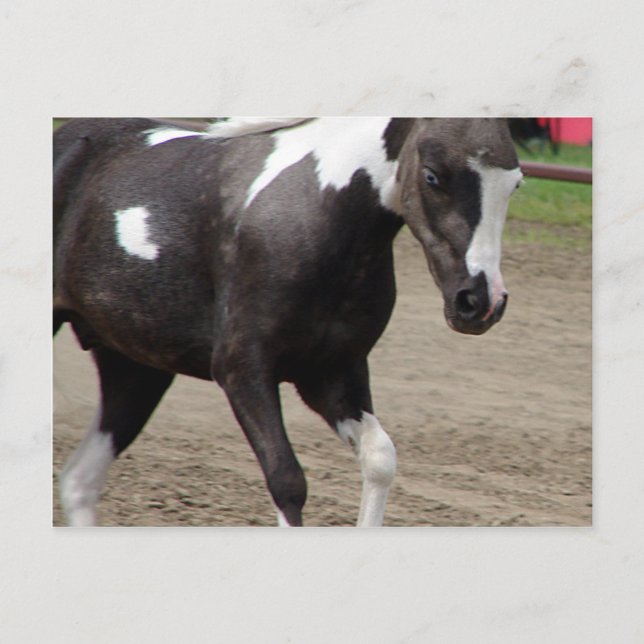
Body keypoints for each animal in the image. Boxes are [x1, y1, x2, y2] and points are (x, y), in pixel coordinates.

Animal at [53, 117, 522, 527]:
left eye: (515, 184)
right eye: (432, 176)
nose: (480, 302)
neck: (318, 216)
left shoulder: (331, 375)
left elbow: (379, 459)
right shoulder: (242, 371)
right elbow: (287, 481)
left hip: (135, 366)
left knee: (79, 480)